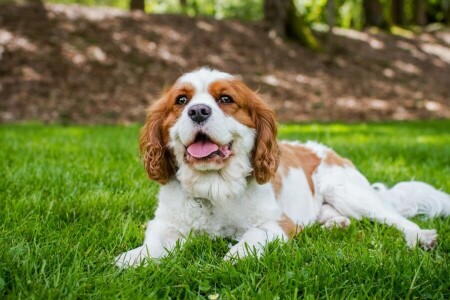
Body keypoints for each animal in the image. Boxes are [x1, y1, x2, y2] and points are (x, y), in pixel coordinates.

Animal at [116, 68, 450, 268]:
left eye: (225, 99)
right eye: (181, 100)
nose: (198, 111)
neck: (215, 187)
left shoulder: (278, 223)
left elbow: (252, 236)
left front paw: (236, 255)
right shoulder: (166, 224)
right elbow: (153, 244)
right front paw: (133, 259)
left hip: (346, 191)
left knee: (394, 218)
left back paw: (420, 237)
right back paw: (334, 223)